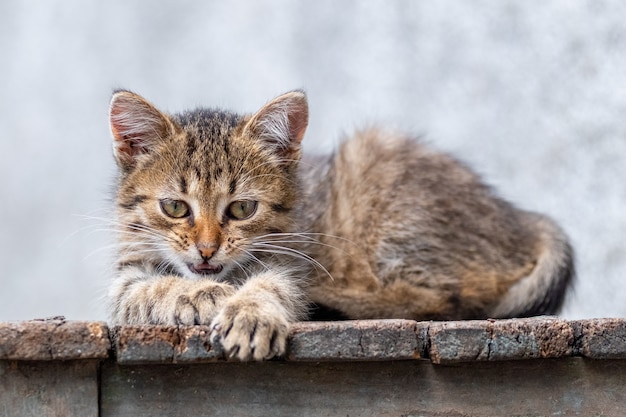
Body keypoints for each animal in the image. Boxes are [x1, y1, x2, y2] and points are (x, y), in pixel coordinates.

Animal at [106, 89, 572, 360]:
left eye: (241, 210)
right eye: (175, 207)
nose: (206, 249)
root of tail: (520, 219)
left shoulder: (293, 260)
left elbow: (275, 284)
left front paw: (250, 313)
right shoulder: (124, 281)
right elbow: (147, 290)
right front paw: (205, 294)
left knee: (452, 298)